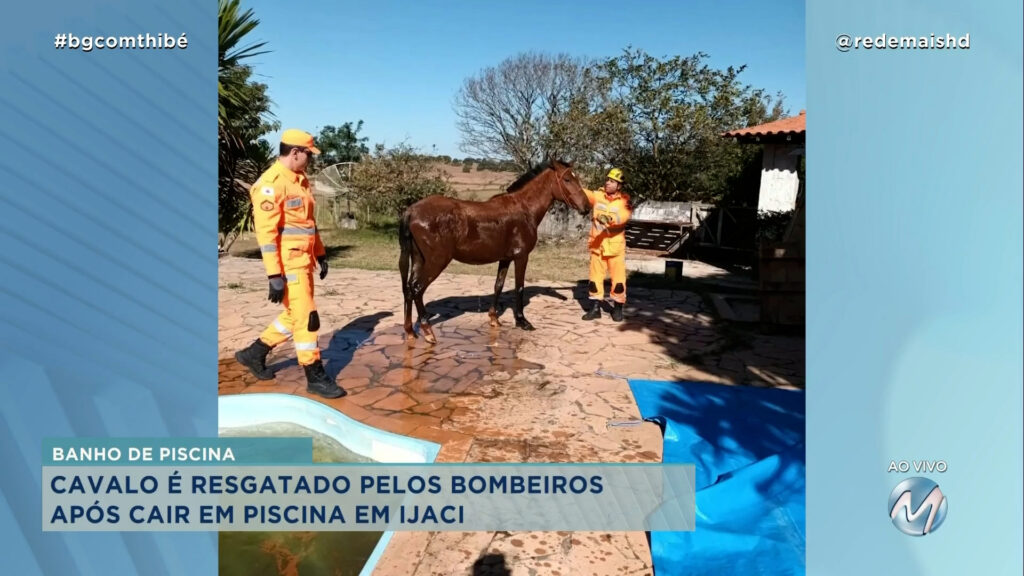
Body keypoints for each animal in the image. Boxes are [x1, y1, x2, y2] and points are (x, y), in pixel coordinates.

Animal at [399, 158, 593, 342]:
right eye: (567, 179)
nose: (587, 207)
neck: (524, 209)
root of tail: (412, 211)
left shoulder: (505, 258)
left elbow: (498, 285)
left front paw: (494, 319)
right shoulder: (521, 257)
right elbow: (519, 287)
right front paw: (522, 321)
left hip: (418, 259)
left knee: (409, 289)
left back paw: (410, 332)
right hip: (436, 261)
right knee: (417, 289)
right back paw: (428, 332)